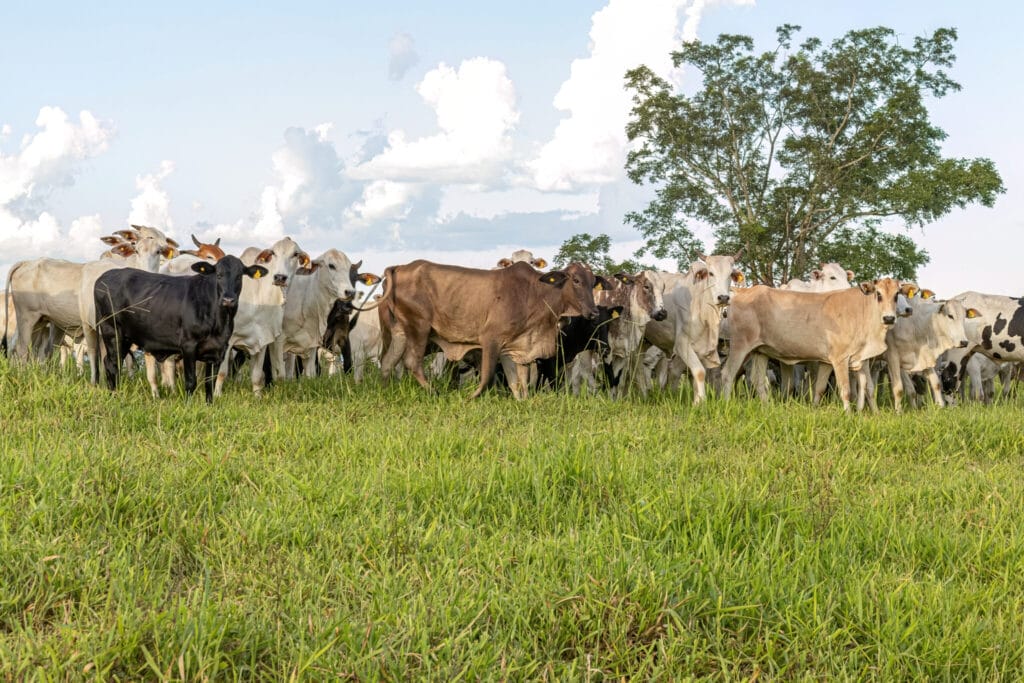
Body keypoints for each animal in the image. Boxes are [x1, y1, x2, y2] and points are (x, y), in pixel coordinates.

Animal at [94, 258, 266, 405]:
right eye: (218, 275)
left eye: (239, 276)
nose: (228, 300)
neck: (219, 321)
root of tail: (104, 276)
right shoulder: (188, 346)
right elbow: (190, 381)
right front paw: (189, 405)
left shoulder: (218, 350)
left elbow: (210, 382)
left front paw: (209, 405)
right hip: (112, 333)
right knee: (112, 364)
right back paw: (114, 396)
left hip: (125, 338)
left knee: (111, 363)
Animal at [380, 262, 602, 401]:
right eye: (576, 280)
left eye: (593, 283)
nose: (594, 312)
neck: (535, 293)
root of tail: (400, 267)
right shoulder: (491, 339)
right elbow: (487, 377)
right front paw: (468, 398)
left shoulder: (516, 346)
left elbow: (518, 381)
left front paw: (522, 400)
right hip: (419, 327)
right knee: (412, 363)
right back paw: (434, 392)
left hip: (400, 333)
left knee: (388, 363)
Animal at [720, 278, 905, 411]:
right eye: (878, 294)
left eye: (896, 295)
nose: (889, 318)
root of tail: (745, 291)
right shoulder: (840, 358)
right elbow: (845, 390)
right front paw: (848, 414)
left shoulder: (845, 359)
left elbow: (824, 388)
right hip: (740, 346)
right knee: (727, 374)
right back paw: (727, 405)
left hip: (760, 351)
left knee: (757, 380)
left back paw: (767, 407)